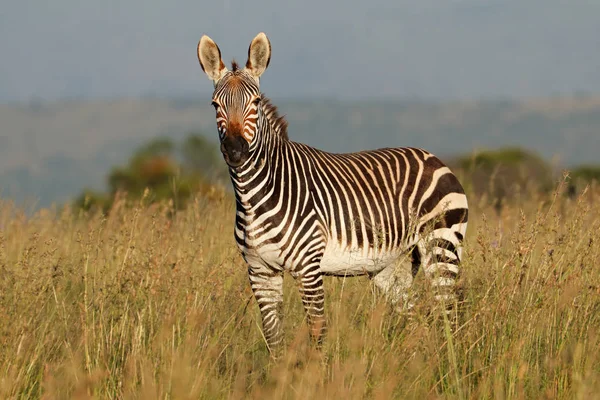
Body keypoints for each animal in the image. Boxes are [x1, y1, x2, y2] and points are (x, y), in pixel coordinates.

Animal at [197, 32, 468, 354]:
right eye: (215, 105)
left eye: (256, 102)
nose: (235, 150)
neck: (254, 197)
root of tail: (433, 157)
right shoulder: (260, 271)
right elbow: (274, 338)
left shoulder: (308, 268)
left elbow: (317, 333)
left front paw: (317, 369)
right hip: (392, 266)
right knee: (415, 317)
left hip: (441, 246)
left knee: (449, 316)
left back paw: (450, 364)